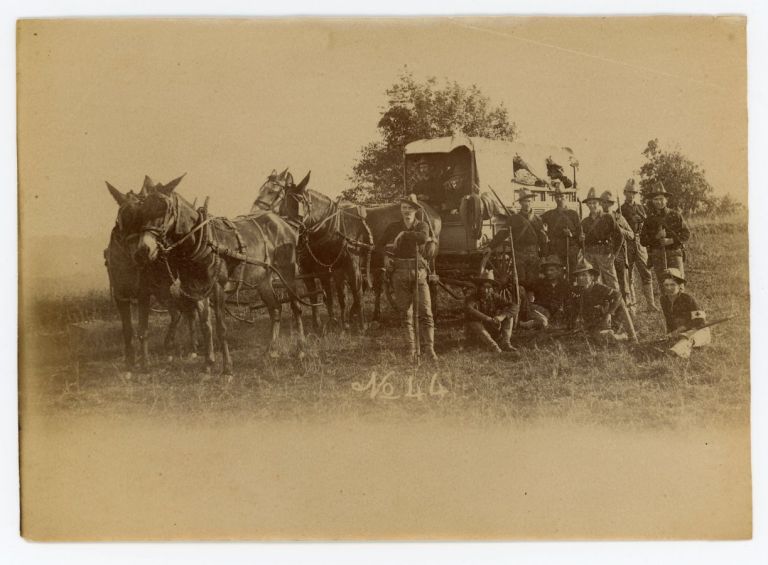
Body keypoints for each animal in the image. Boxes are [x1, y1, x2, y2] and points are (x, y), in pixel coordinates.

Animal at [105, 175, 214, 371]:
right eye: (124, 216)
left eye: (142, 217)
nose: (141, 254)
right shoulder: (120, 296)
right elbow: (127, 330)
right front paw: (130, 363)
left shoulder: (143, 294)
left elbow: (143, 329)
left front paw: (145, 364)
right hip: (165, 291)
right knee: (179, 313)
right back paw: (174, 346)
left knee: (191, 312)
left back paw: (191, 347)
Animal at [132, 179, 309, 374]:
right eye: (142, 210)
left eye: (165, 208)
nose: (143, 250)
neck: (202, 242)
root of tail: (283, 223)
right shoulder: (198, 289)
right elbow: (206, 326)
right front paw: (208, 363)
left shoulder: (218, 288)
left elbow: (221, 327)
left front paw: (227, 368)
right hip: (262, 279)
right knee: (275, 308)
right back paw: (271, 349)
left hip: (287, 272)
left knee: (296, 307)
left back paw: (301, 349)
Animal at [252, 169, 374, 332]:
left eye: (274, 192)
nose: (254, 213)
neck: (331, 227)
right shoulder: (313, 270)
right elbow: (318, 296)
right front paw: (322, 325)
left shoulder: (351, 265)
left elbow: (357, 292)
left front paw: (362, 326)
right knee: (342, 294)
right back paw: (345, 320)